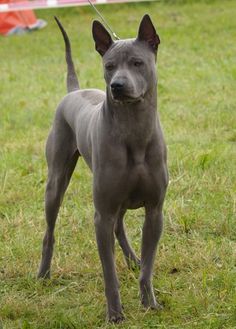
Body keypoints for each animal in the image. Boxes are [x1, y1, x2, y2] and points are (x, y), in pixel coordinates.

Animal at [37, 14, 168, 320]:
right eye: (109, 66)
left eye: (137, 62)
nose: (117, 85)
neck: (134, 129)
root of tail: (74, 90)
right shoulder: (102, 215)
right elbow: (109, 273)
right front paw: (115, 313)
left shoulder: (155, 211)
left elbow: (148, 267)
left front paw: (149, 302)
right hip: (56, 183)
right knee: (50, 231)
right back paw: (43, 274)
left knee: (120, 227)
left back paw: (133, 259)